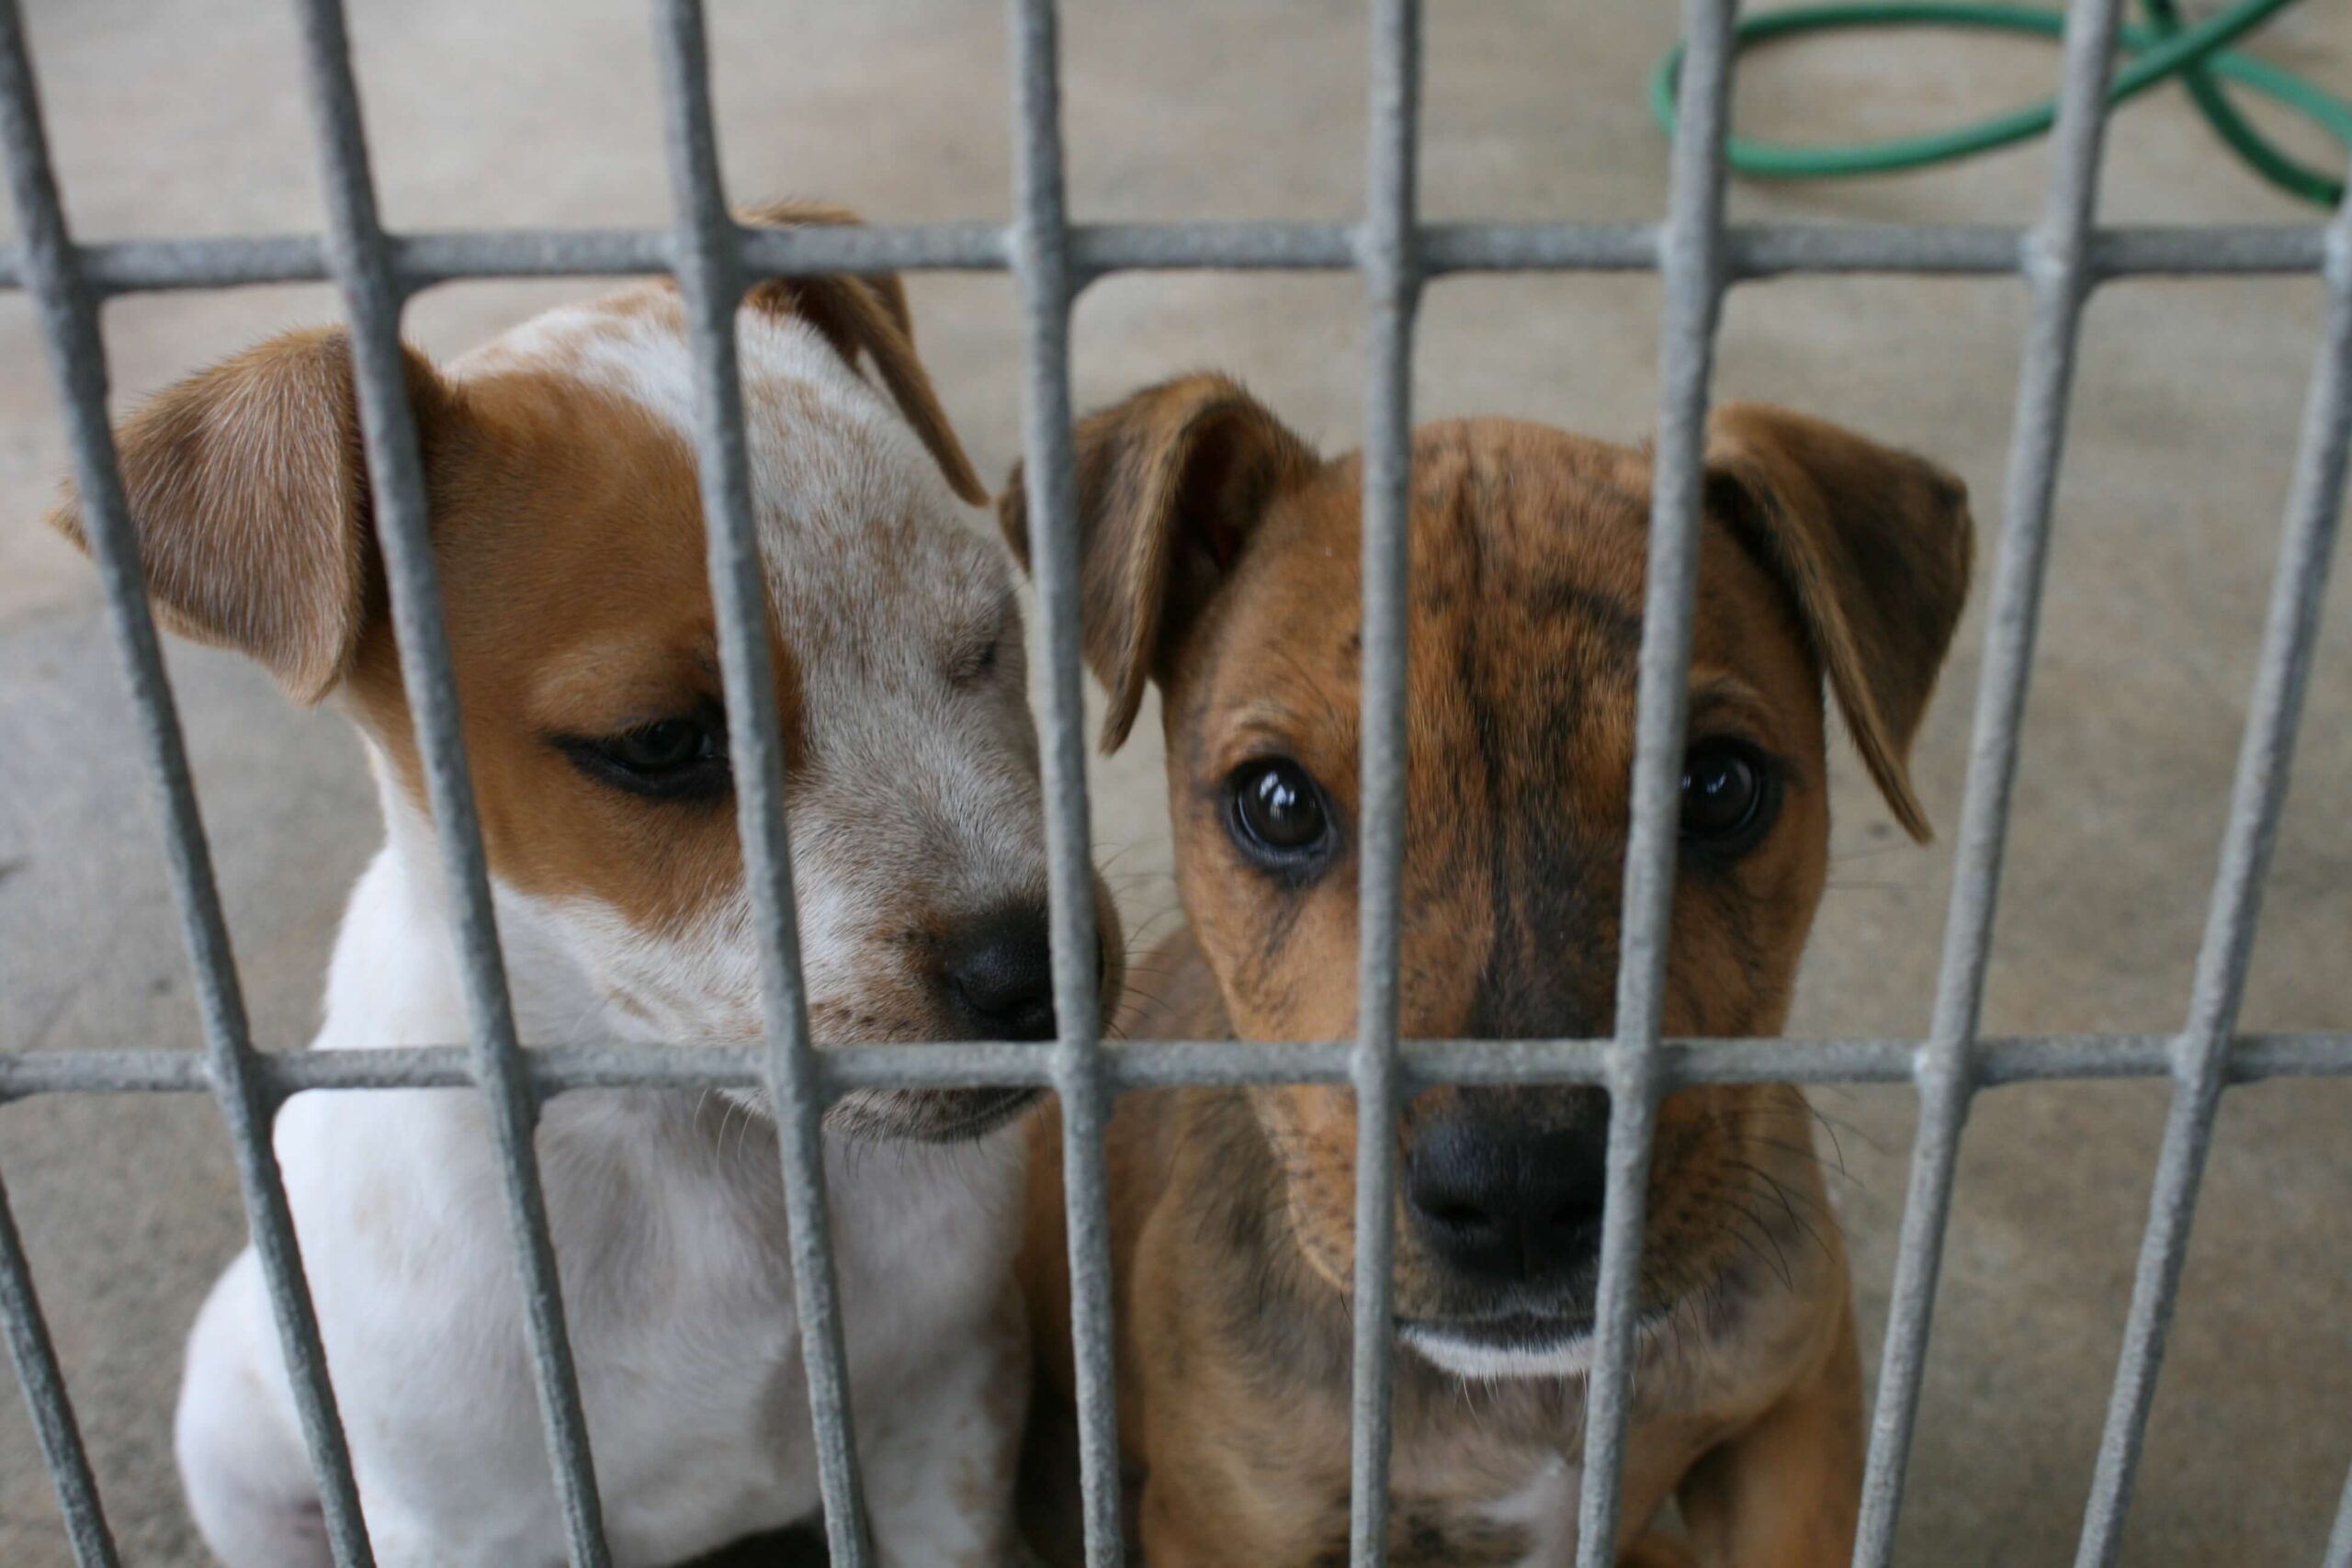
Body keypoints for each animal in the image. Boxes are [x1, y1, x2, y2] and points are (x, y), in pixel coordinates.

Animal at [51, 208, 1119, 1568]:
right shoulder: (459, 1526)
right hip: (231, 1437)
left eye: (985, 641)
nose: (1041, 968)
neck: (692, 1154)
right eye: (659, 743)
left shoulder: (947, 1400)